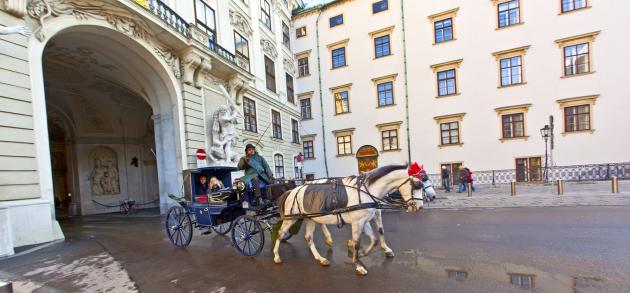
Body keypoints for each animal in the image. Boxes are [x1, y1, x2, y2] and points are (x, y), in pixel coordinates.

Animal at [276, 163, 424, 274]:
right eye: (416, 185)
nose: (420, 207)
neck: (367, 191)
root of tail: (293, 191)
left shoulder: (365, 220)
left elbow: (375, 238)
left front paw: (362, 253)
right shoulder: (357, 222)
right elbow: (358, 242)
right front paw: (358, 264)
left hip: (311, 218)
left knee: (308, 237)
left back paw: (320, 258)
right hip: (291, 218)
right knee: (281, 233)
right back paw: (276, 256)